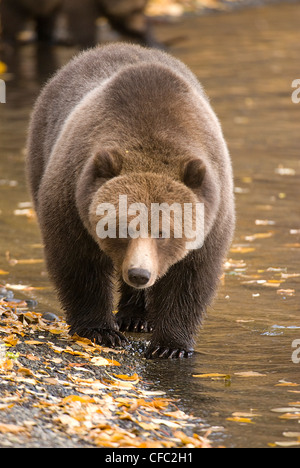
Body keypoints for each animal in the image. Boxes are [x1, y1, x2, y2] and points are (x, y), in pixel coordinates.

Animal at [27, 43, 236, 358]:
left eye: (163, 231)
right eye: (121, 227)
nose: (138, 273)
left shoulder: (212, 212)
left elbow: (190, 277)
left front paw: (170, 346)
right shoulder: (72, 198)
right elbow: (78, 263)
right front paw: (100, 331)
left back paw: (137, 317)